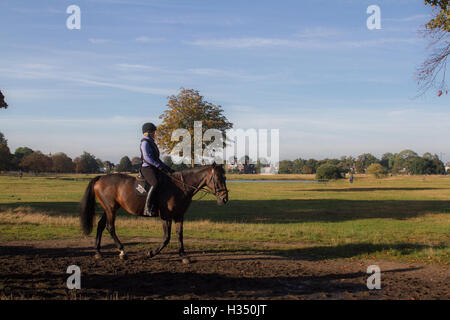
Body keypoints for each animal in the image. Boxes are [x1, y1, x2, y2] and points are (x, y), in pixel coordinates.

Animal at [79, 162, 229, 260]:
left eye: (225, 178)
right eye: (218, 178)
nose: (225, 198)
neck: (180, 186)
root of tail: (101, 177)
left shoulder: (179, 215)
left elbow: (179, 234)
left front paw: (183, 255)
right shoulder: (166, 216)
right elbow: (166, 238)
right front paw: (151, 253)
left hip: (109, 208)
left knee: (100, 225)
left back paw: (98, 252)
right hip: (110, 209)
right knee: (110, 227)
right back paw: (122, 251)